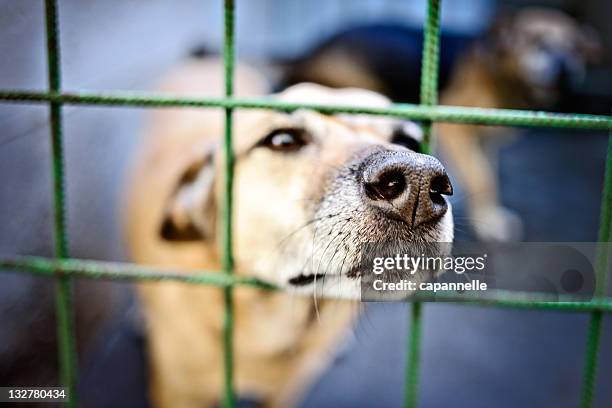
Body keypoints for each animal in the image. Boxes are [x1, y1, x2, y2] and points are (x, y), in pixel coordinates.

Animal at [278, 7, 604, 242]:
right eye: (535, 40)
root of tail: (308, 51)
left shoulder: (484, 141)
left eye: (576, 48)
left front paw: (489, 211)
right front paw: (489, 221)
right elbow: (482, 176)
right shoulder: (455, 130)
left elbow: (487, 173)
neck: (498, 73)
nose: (565, 67)